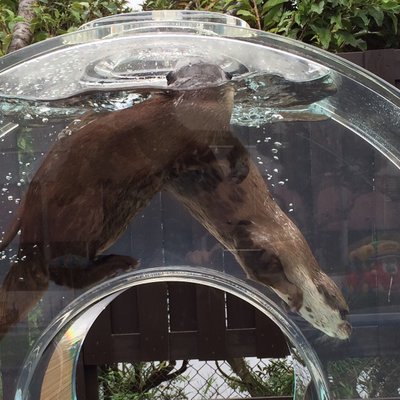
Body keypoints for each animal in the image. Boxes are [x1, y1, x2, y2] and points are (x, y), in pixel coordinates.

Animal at [0, 60, 350, 340]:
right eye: (344, 311)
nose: (347, 331)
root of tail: (28, 232)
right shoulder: (256, 235)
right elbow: (263, 265)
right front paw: (293, 296)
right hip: (83, 212)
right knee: (63, 271)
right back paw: (120, 263)